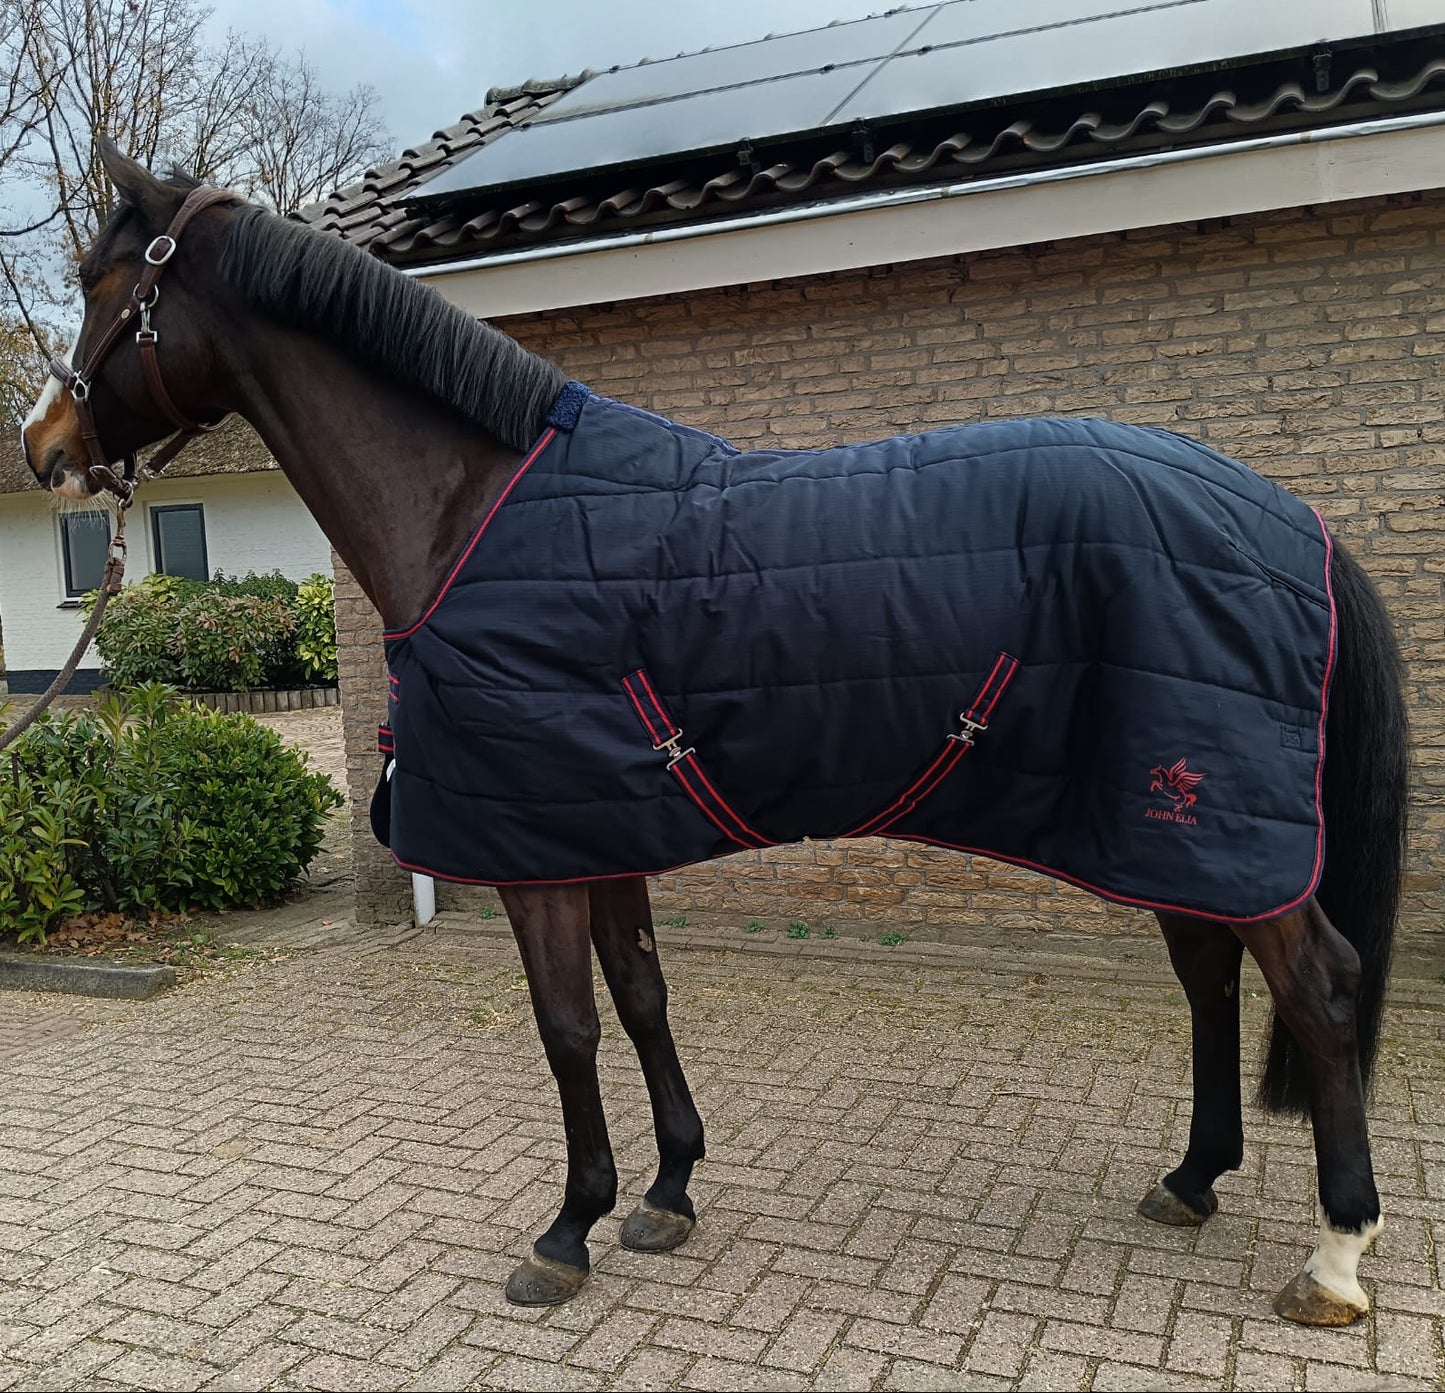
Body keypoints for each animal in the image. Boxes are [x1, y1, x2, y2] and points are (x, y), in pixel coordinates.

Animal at [22, 140, 1408, 1328]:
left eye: (99, 283)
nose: (43, 447)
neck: (474, 510)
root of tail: (1286, 518)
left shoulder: (536, 852)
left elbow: (567, 1027)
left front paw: (565, 1231)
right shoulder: (599, 824)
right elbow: (641, 998)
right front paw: (667, 1191)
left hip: (1211, 818)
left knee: (1320, 987)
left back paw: (1335, 1256)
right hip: (1167, 826)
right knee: (1208, 974)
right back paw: (1190, 1178)